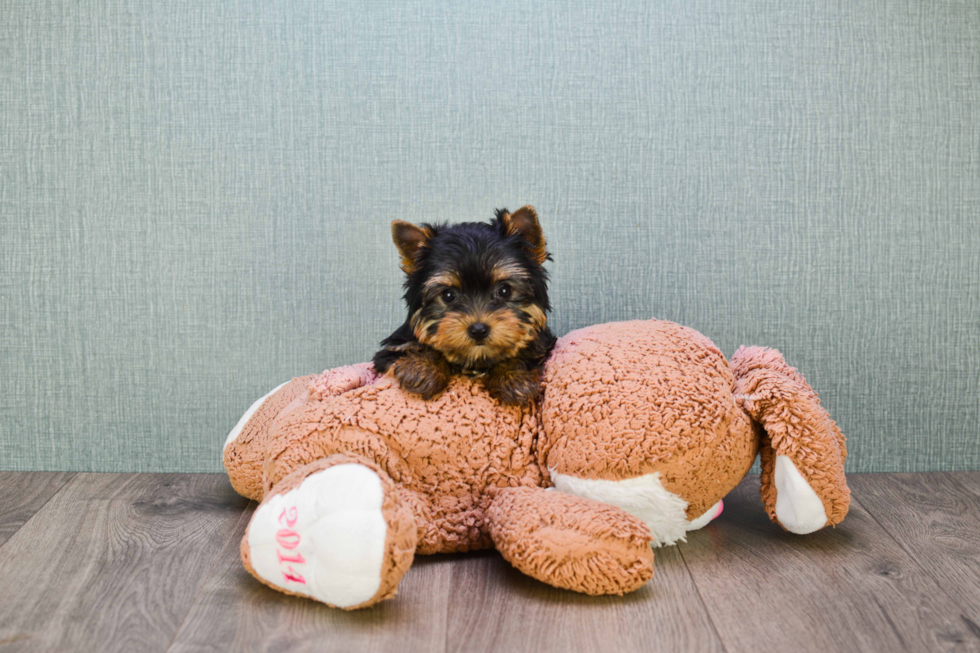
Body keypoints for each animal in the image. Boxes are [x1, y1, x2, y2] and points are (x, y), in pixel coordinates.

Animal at [376, 206, 556, 404]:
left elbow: (523, 354)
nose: (478, 330)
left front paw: (513, 378)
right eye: (448, 295)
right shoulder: (389, 352)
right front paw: (423, 369)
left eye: (504, 290)